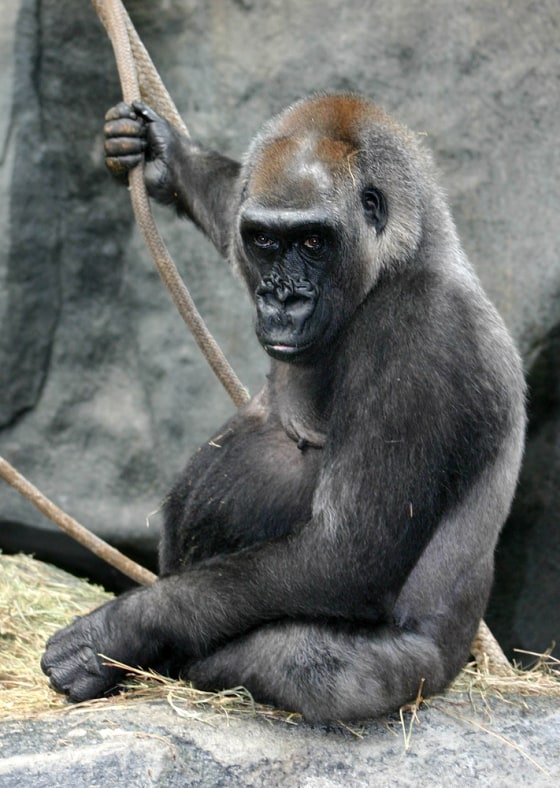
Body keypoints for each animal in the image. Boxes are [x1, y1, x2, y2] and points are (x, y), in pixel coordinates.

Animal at [41, 94, 526, 722]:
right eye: (266, 240)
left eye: (314, 242)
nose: (281, 298)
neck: (406, 255)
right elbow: (229, 202)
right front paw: (168, 156)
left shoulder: (424, 332)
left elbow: (347, 554)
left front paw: (120, 632)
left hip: (427, 675)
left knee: (312, 665)